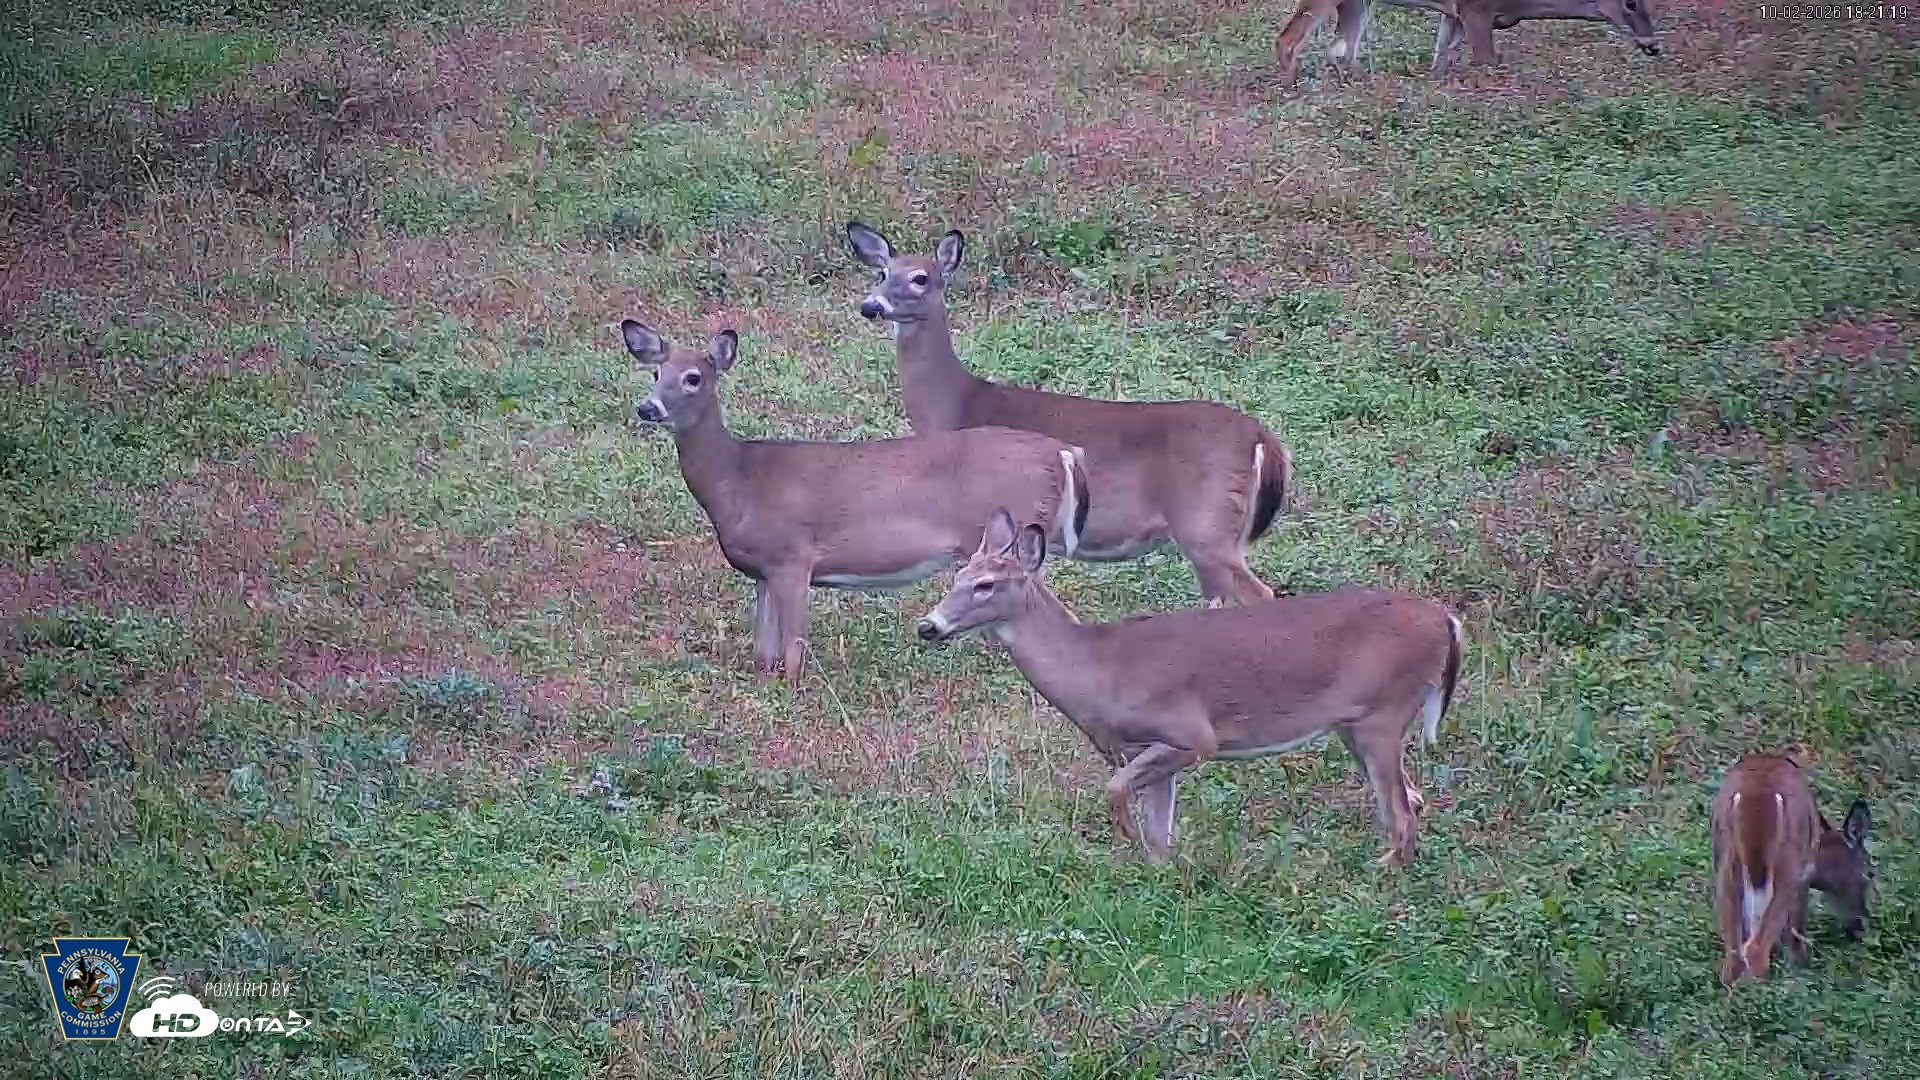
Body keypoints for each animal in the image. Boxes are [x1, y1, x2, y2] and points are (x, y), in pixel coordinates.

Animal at [620, 319, 1091, 688]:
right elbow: (762, 654)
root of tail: (1062, 454)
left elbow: (793, 650)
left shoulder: (793, 556)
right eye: (655, 371)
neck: (739, 481)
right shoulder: (761, 570)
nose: (648, 407)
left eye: (693, 377)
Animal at [846, 222, 1292, 610]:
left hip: (1207, 525)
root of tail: (1263, 440)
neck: (957, 403)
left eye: (921, 278)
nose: (871, 306)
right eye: (883, 272)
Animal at [915, 507, 1465, 867]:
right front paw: (1158, 876)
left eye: (986, 585)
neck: (1098, 669)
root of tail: (1447, 621)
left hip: (1383, 714)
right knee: (1412, 800)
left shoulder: (1192, 733)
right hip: (1357, 724)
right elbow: (1161, 835)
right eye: (958, 575)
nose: (928, 626)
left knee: (1403, 813)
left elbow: (1116, 792)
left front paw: (1127, 844)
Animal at [1709, 753, 1873, 987]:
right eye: (1869, 873)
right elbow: (1796, 931)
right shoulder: (1803, 877)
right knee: (1754, 949)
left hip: (1727, 865)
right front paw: (1801, 967)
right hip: (1786, 868)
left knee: (1734, 954)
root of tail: (1756, 800)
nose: (1861, 924)